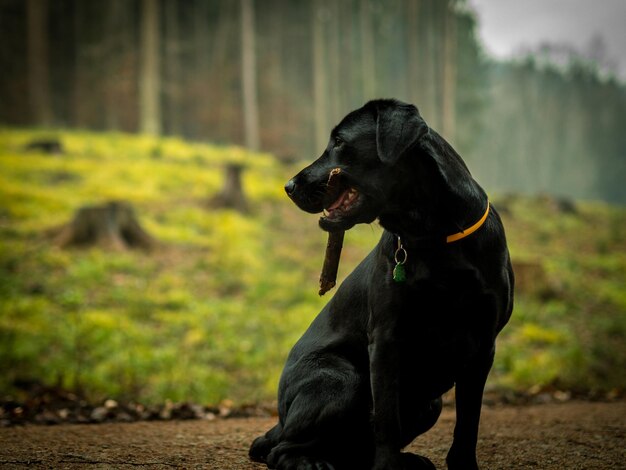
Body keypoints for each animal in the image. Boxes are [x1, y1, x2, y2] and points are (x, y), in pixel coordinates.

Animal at [249, 100, 512, 470]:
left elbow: (468, 423)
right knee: (278, 449)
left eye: (339, 142)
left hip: (429, 403)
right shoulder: (387, 339)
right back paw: (312, 462)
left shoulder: (483, 346)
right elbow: (387, 417)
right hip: (344, 381)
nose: (287, 186)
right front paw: (387, 467)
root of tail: (280, 419)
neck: (434, 235)